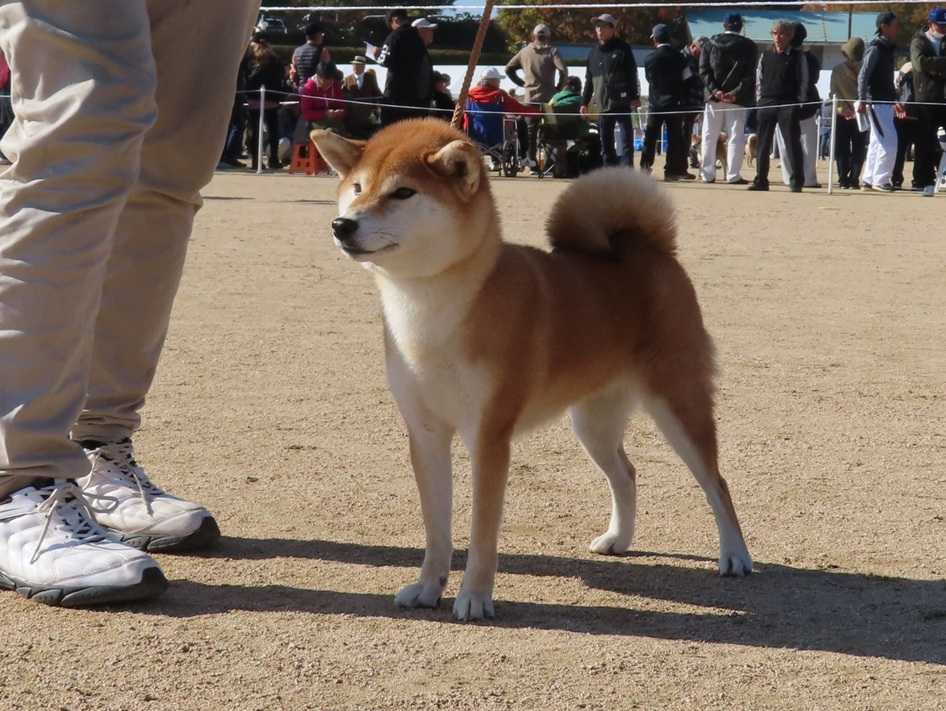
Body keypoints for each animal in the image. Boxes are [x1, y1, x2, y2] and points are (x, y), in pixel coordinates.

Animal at [312, 119, 752, 621]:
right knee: (626, 473)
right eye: (358, 188)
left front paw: (475, 596)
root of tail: (647, 248)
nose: (343, 224)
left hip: (678, 402)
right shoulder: (425, 434)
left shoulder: (488, 436)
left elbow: (482, 532)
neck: (430, 306)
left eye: (403, 192)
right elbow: (436, 530)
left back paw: (735, 555)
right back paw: (618, 539)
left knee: (717, 483)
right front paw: (427, 587)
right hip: (593, 422)